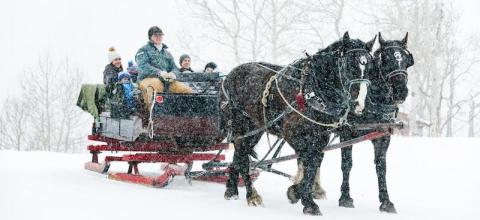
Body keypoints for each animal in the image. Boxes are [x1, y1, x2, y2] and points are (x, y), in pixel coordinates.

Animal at [223, 32, 376, 215]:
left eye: (370, 68)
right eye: (349, 65)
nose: (358, 104)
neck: (310, 91)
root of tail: (230, 75)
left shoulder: (320, 138)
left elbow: (313, 163)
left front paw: (301, 194)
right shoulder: (293, 135)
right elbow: (307, 162)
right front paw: (304, 197)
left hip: (255, 129)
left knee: (239, 156)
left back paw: (231, 190)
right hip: (240, 125)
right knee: (243, 158)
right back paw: (252, 195)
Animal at [306, 32, 414, 213]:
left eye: (407, 60)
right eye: (386, 59)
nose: (401, 92)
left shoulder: (383, 136)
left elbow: (381, 166)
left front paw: (386, 201)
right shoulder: (347, 133)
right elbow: (347, 164)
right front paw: (345, 197)